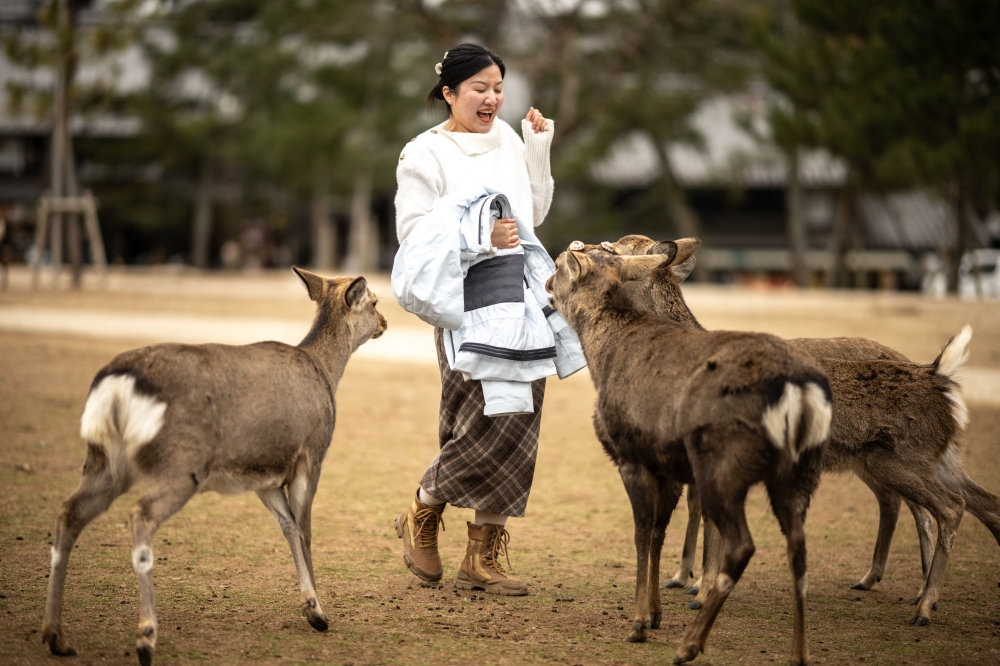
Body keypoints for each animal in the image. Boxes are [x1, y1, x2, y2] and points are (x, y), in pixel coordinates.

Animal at [41, 268, 387, 666]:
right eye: (375, 301)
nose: (385, 322)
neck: (326, 373)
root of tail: (115, 384)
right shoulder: (312, 453)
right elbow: (306, 531)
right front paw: (318, 611)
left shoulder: (264, 476)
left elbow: (287, 527)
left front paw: (310, 606)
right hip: (181, 463)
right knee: (140, 514)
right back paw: (146, 637)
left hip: (105, 461)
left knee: (68, 511)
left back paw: (56, 636)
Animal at [546, 243, 833, 665]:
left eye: (559, 265)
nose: (547, 285)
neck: (605, 355)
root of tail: (797, 389)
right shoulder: (663, 464)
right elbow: (658, 533)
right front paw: (655, 614)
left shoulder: (631, 456)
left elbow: (641, 533)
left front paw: (638, 623)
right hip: (801, 471)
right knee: (799, 546)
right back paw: (798, 653)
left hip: (723, 464)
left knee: (742, 545)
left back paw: (691, 644)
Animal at [600, 235, 995, 627]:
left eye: (615, 250)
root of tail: (937, 375)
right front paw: (690, 582)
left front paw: (700, 591)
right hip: (920, 460)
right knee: (976, 503)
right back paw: (903, 588)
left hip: (899, 460)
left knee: (942, 508)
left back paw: (922, 604)